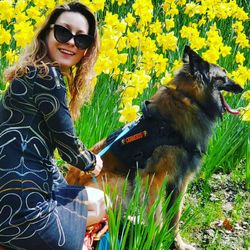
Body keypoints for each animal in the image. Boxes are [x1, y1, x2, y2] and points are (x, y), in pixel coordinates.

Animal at [65, 46, 243, 249]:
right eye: (224, 75)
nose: (242, 88)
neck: (189, 99)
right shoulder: (153, 180)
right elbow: (156, 218)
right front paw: (154, 240)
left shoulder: (180, 182)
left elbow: (175, 218)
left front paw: (177, 243)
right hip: (120, 182)